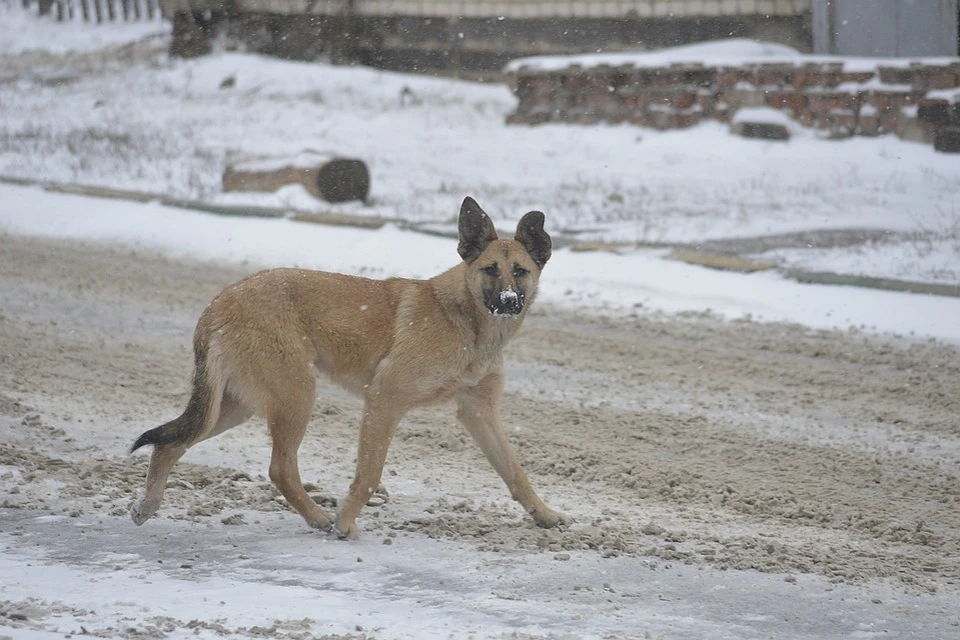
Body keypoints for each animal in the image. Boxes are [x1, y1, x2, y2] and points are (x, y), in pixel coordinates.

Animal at [132, 198, 568, 536]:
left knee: (170, 444)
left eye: (521, 271)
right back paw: (319, 518)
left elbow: (515, 471)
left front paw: (545, 515)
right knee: (280, 469)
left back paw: (147, 506)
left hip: (236, 406)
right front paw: (345, 523)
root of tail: (218, 303)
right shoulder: (385, 400)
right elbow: (370, 475)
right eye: (490, 270)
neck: (467, 324)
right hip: (295, 397)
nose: (508, 301)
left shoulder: (479, 411)